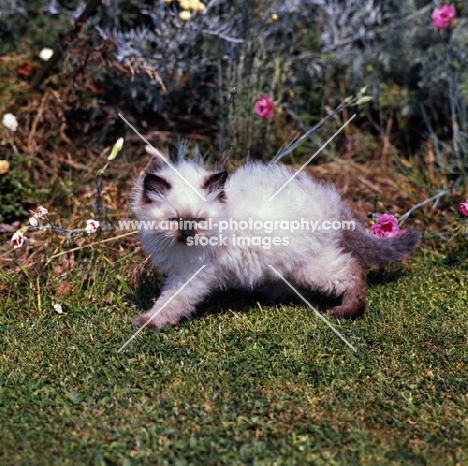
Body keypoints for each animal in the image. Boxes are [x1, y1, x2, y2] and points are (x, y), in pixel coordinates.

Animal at [130, 147, 418, 330]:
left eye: (199, 221)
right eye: (175, 221)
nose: (188, 233)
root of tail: (332, 202)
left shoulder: (192, 275)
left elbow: (171, 302)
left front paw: (148, 322)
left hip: (310, 266)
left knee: (353, 270)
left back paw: (347, 312)